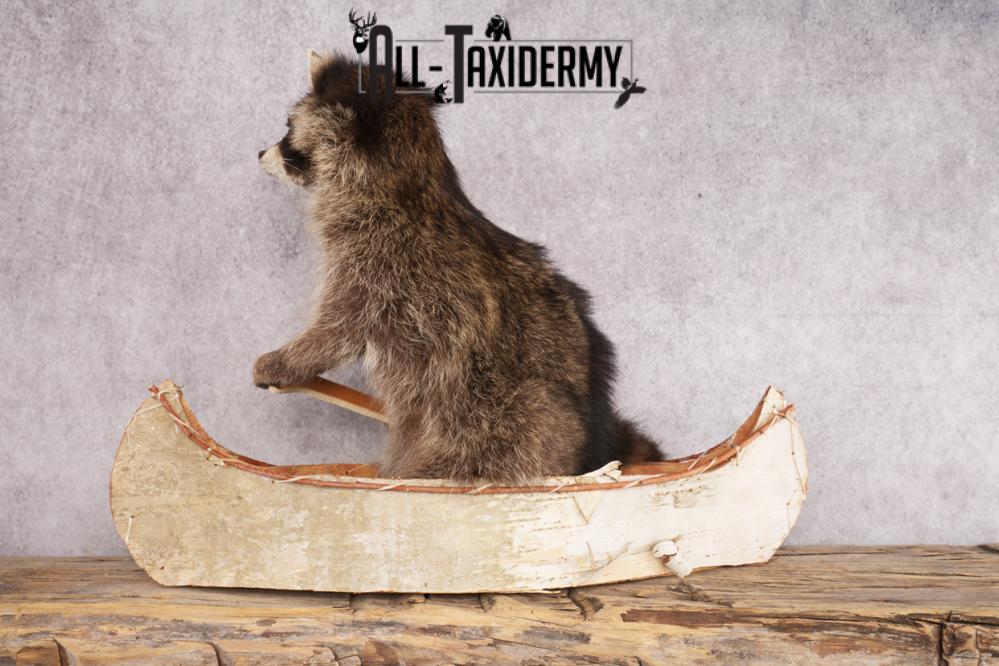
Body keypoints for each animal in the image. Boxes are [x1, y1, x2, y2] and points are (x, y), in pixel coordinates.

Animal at [254, 51, 662, 482]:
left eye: (287, 128)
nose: (260, 154)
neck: (406, 180)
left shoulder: (377, 262)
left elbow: (337, 328)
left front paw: (288, 360)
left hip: (508, 419)